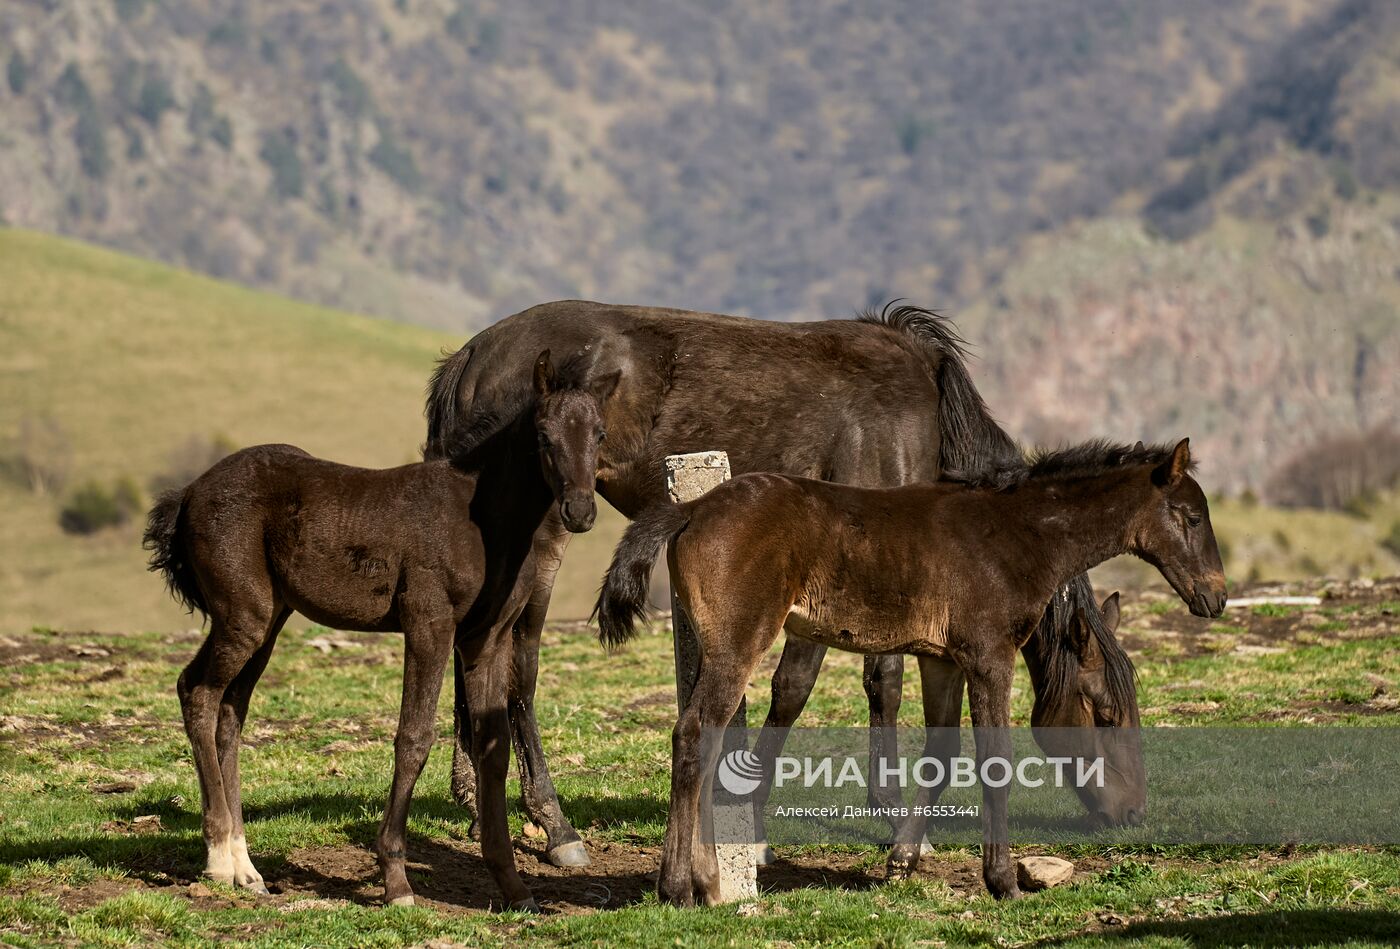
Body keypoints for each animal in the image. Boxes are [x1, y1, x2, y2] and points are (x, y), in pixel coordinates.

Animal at [143, 351, 618, 912]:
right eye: (543, 435)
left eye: (600, 433)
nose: (580, 511)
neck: (479, 517)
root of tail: (188, 493)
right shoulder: (429, 623)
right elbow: (413, 737)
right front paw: (396, 881)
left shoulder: (486, 640)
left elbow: (493, 746)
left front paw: (514, 886)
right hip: (244, 615)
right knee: (196, 691)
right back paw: (219, 860)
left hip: (269, 621)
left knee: (229, 712)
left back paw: (246, 868)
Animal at [425, 299, 1148, 867]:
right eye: (1104, 710)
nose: (1133, 813)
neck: (920, 409)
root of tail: (471, 356)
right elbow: (808, 686)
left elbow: (877, 681)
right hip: (543, 535)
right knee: (519, 663)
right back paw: (554, 824)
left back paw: (473, 798)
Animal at [596, 439, 1232, 907]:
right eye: (1190, 516)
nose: (1216, 597)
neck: (1017, 535)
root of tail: (692, 508)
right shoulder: (988, 655)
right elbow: (995, 760)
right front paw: (1002, 882)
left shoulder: (941, 658)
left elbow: (942, 754)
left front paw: (901, 859)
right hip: (738, 644)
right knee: (695, 736)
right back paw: (683, 886)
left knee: (702, 739)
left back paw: (703, 881)